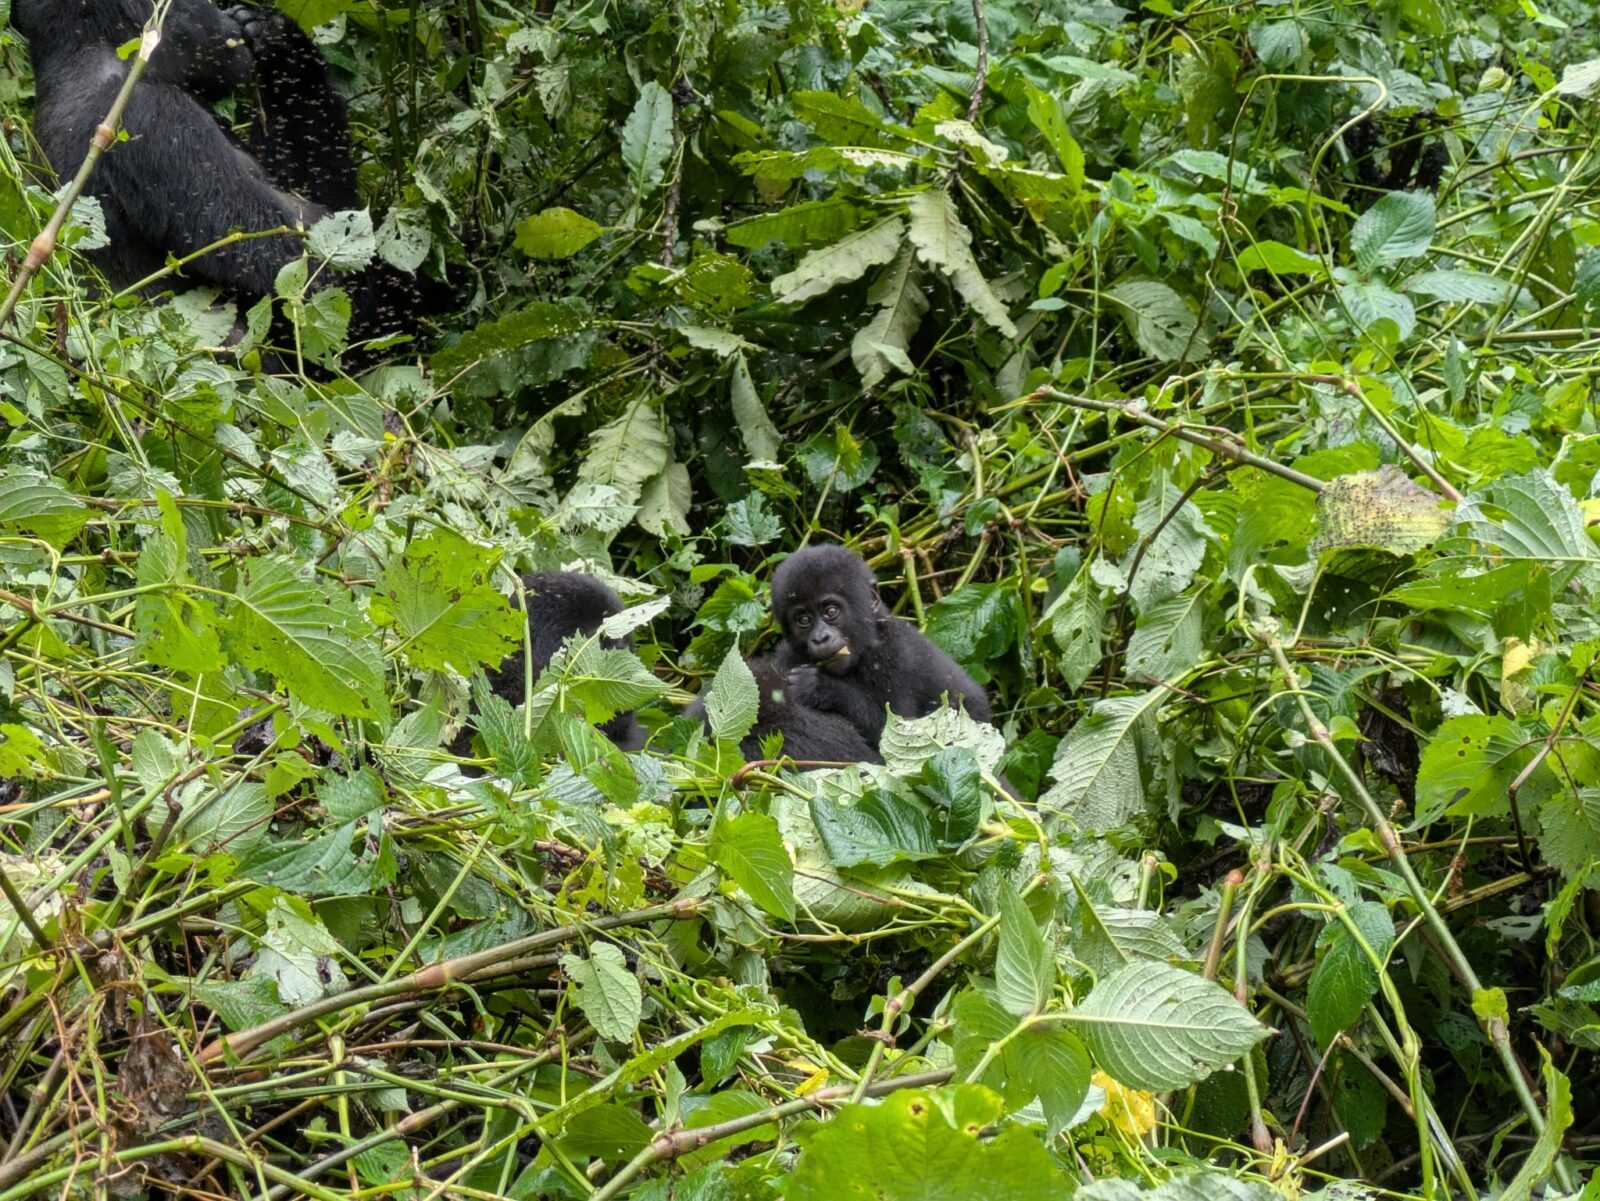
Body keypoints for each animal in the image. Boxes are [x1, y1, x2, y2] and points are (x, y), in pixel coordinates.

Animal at [770, 544, 991, 748]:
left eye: (831, 611)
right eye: (803, 620)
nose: (820, 638)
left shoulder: (894, 655)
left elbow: (899, 733)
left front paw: (824, 688)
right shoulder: (786, 656)